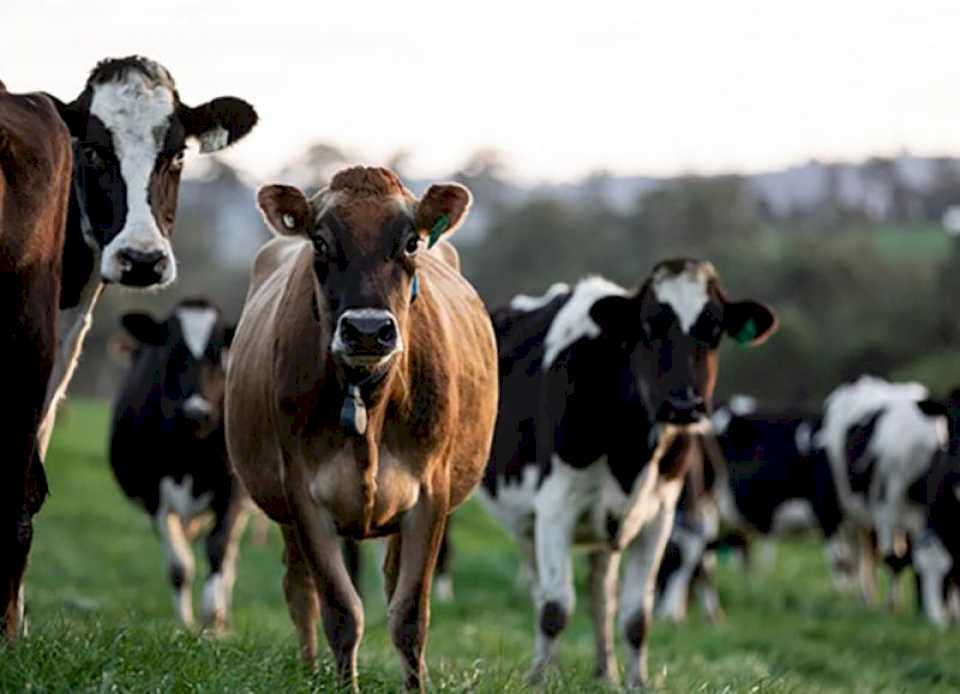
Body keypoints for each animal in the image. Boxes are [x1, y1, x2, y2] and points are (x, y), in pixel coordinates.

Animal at [109, 298, 246, 632]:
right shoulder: (153, 495)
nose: (197, 413)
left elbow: (218, 549)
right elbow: (179, 567)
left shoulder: (232, 489)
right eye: (171, 353)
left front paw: (213, 618)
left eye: (218, 354)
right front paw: (185, 623)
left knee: (230, 561)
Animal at [224, 167, 496, 692]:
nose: (368, 331)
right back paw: (309, 670)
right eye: (320, 242)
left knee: (389, 585)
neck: (367, 400)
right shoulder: (303, 493)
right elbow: (341, 612)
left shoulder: (431, 494)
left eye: (411, 242)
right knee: (299, 588)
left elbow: (409, 616)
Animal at [480, 262, 780, 692]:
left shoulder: (660, 515)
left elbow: (637, 616)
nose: (683, 405)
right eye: (650, 326)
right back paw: (546, 668)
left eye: (714, 329)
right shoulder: (556, 508)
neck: (630, 451)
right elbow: (556, 608)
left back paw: (604, 671)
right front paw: (539, 680)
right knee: (542, 593)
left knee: (600, 594)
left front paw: (637, 682)